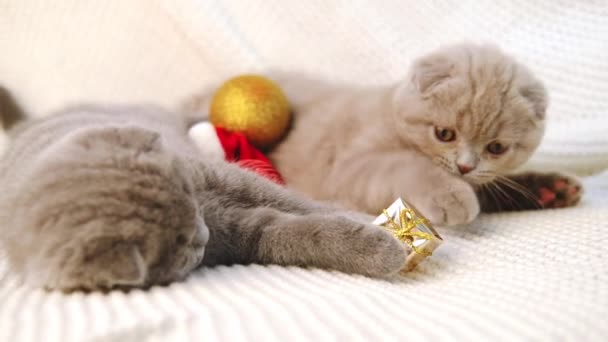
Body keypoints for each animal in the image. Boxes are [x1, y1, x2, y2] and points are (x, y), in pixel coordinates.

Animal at [1, 104, 408, 292]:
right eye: (177, 244)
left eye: (187, 192)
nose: (203, 234)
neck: (209, 211)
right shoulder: (243, 234)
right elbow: (296, 234)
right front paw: (384, 248)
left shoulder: (225, 178)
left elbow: (293, 201)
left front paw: (377, 223)